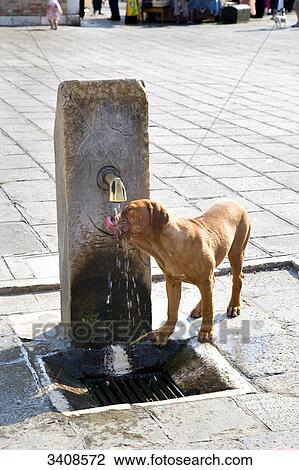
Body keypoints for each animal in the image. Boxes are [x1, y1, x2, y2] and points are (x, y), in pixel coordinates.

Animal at [104, 198, 252, 346]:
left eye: (129, 211)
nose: (112, 217)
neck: (161, 247)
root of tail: (234, 202)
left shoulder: (204, 279)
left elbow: (209, 309)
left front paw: (206, 331)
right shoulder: (172, 281)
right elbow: (172, 310)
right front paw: (165, 333)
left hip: (236, 252)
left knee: (237, 279)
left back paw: (234, 306)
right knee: (212, 286)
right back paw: (199, 308)